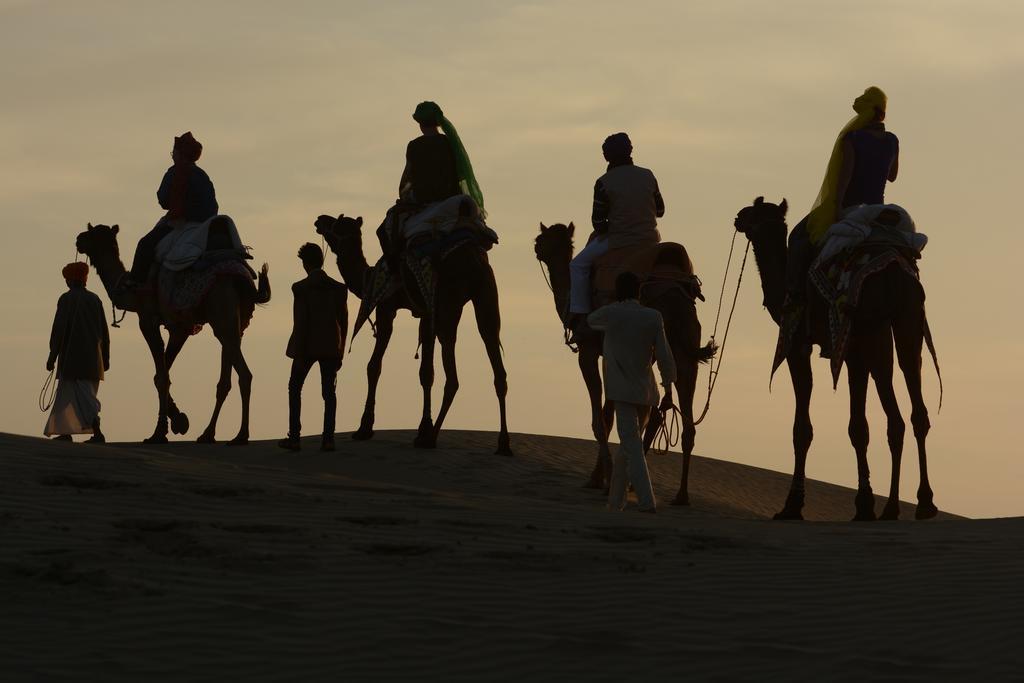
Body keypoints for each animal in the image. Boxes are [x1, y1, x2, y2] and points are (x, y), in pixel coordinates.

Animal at [75, 223, 270, 444]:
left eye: (91, 234)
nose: (79, 239)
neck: (130, 292)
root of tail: (244, 283)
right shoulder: (181, 328)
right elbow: (161, 373)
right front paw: (179, 420)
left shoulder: (147, 320)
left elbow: (161, 377)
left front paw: (159, 432)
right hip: (236, 322)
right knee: (226, 377)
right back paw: (208, 433)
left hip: (221, 314)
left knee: (244, 374)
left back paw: (240, 435)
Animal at [311, 214, 512, 456]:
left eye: (338, 224)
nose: (320, 219)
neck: (368, 276)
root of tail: (476, 261)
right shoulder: (426, 314)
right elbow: (426, 372)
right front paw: (422, 427)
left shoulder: (385, 307)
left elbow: (374, 366)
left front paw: (364, 428)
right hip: (485, 296)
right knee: (495, 358)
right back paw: (503, 443)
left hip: (448, 303)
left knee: (453, 376)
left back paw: (432, 438)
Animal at [532, 223, 716, 501]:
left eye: (540, 238)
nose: (536, 247)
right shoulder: (616, 355)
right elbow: (613, 414)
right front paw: (604, 478)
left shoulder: (590, 351)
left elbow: (600, 419)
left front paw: (601, 480)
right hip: (683, 348)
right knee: (681, 421)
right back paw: (679, 495)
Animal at [737, 197, 937, 524]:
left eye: (753, 211)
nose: (738, 218)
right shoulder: (854, 352)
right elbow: (859, 427)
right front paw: (864, 504)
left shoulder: (800, 345)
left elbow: (804, 428)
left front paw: (793, 505)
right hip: (907, 323)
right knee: (914, 411)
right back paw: (921, 503)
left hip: (873, 330)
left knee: (895, 417)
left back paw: (895, 507)